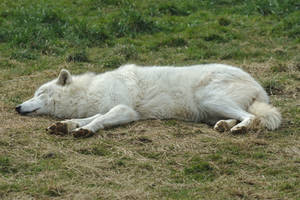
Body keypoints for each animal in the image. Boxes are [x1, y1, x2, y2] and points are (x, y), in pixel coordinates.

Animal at [15, 63, 280, 138]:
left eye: (39, 94)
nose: (17, 107)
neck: (89, 91)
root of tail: (259, 87)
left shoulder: (125, 110)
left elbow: (98, 119)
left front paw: (85, 130)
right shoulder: (103, 108)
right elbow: (85, 117)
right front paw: (65, 125)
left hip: (210, 100)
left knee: (252, 117)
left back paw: (238, 129)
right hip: (209, 110)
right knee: (238, 116)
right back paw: (225, 126)